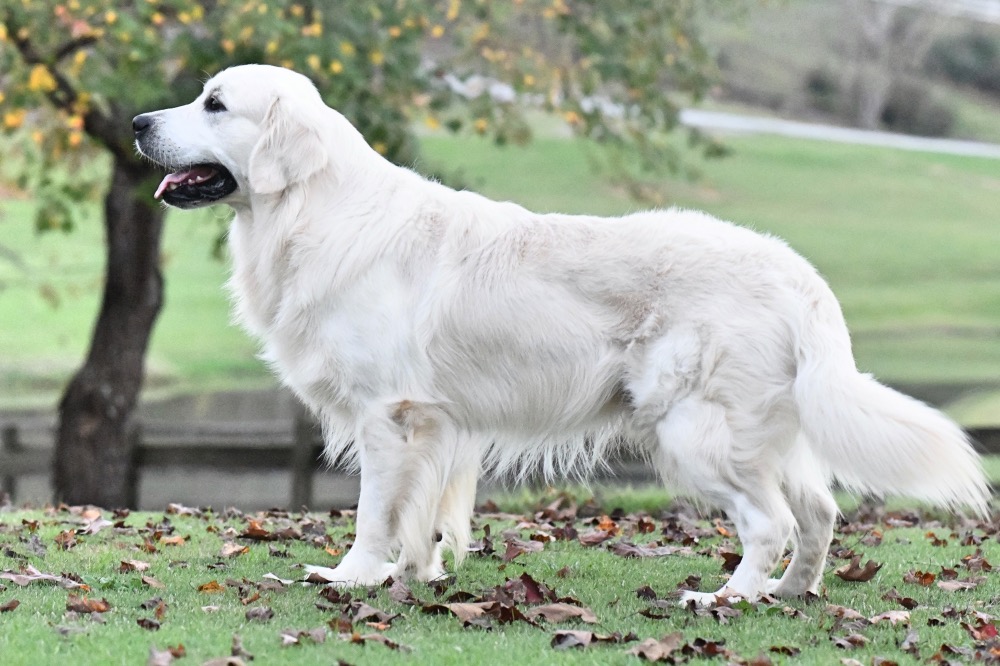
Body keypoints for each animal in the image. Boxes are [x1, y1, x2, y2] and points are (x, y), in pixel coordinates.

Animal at [135, 63, 992, 600]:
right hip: (771, 430)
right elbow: (430, 515)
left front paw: (352, 576)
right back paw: (790, 592)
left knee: (772, 520)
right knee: (817, 515)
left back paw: (728, 597)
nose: (139, 121)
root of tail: (800, 276)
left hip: (692, 430)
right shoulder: (442, 425)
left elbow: (376, 511)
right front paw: (423, 576)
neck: (316, 209)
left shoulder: (390, 416)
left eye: (215, 104)